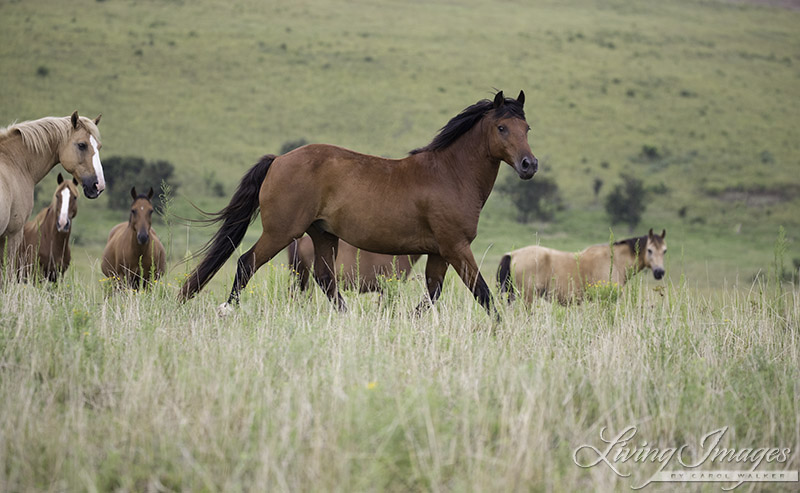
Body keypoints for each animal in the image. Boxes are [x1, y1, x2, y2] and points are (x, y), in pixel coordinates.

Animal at [496, 228, 664, 304]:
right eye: (649, 250)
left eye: (665, 251)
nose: (659, 272)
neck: (615, 260)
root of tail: (512, 255)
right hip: (527, 298)